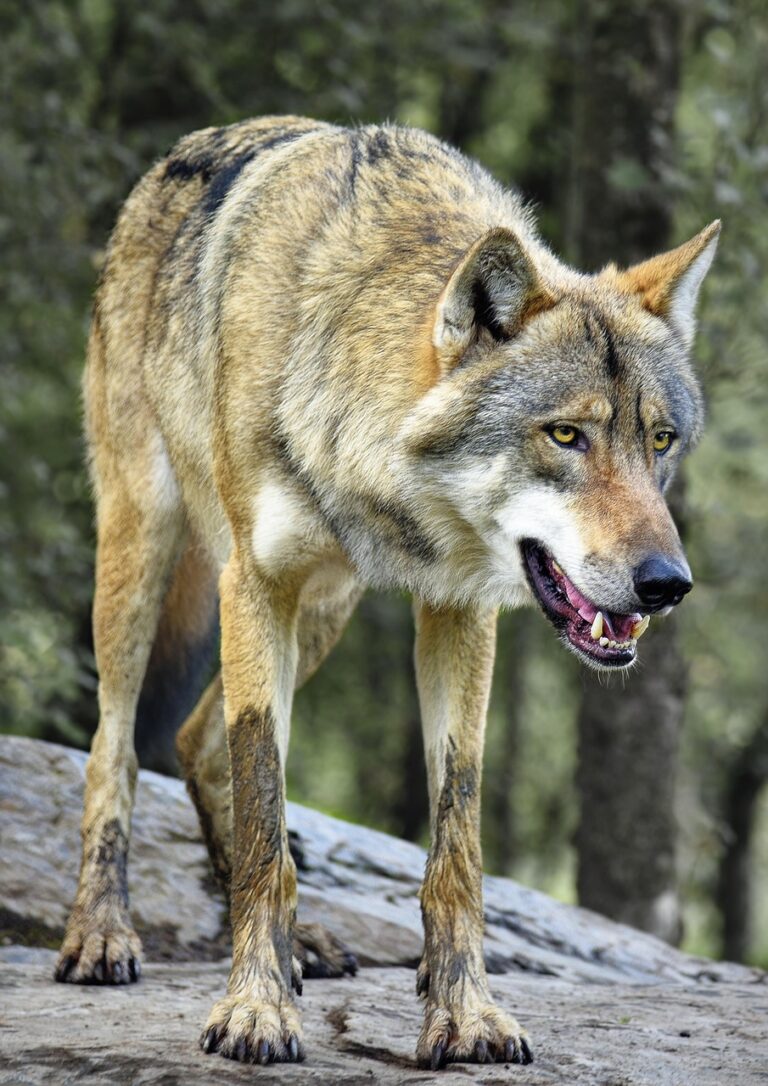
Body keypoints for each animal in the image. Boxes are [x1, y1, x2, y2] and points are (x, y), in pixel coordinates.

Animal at [55, 115, 719, 1069]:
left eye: (659, 441)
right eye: (566, 435)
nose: (668, 585)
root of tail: (180, 154)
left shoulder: (458, 611)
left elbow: (457, 847)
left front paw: (466, 1013)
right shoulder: (254, 584)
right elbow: (266, 818)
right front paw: (255, 1010)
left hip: (324, 612)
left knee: (193, 740)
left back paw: (305, 945)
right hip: (145, 555)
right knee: (115, 747)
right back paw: (103, 935)